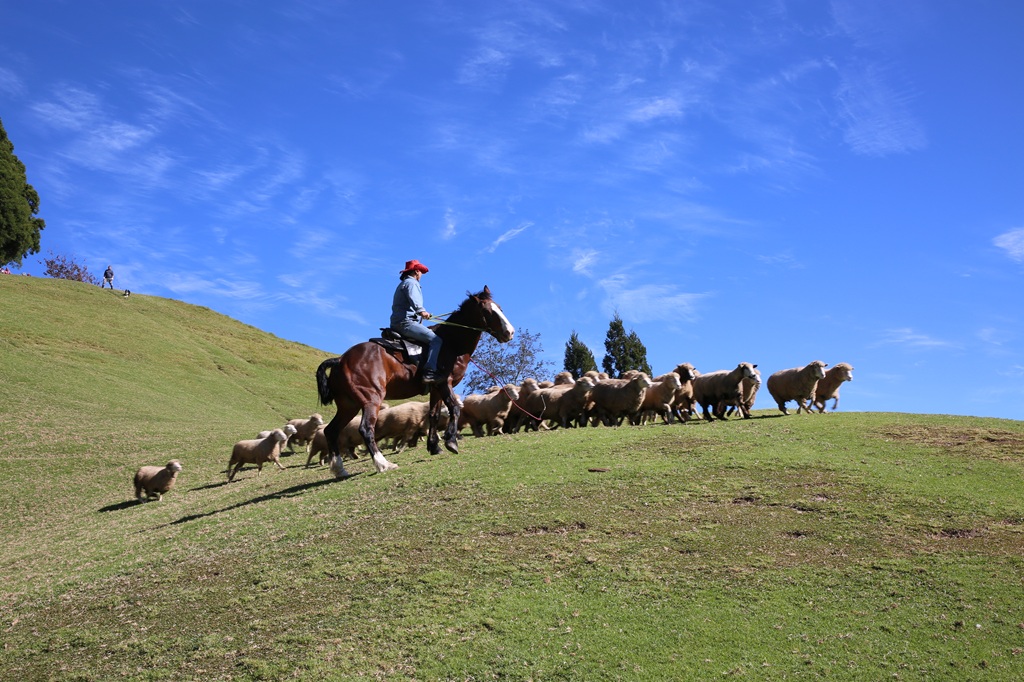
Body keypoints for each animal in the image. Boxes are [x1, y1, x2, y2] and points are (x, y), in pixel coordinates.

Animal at [315, 286, 514, 478]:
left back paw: (339, 469)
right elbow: (455, 408)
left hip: (349, 405)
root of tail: (341, 360)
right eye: (487, 311)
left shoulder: (435, 389)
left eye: (500, 308)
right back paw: (383, 464)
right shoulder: (444, 383)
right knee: (366, 429)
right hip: (371, 400)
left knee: (331, 431)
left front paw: (434, 446)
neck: (450, 343)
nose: (509, 332)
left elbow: (433, 415)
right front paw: (451, 441)